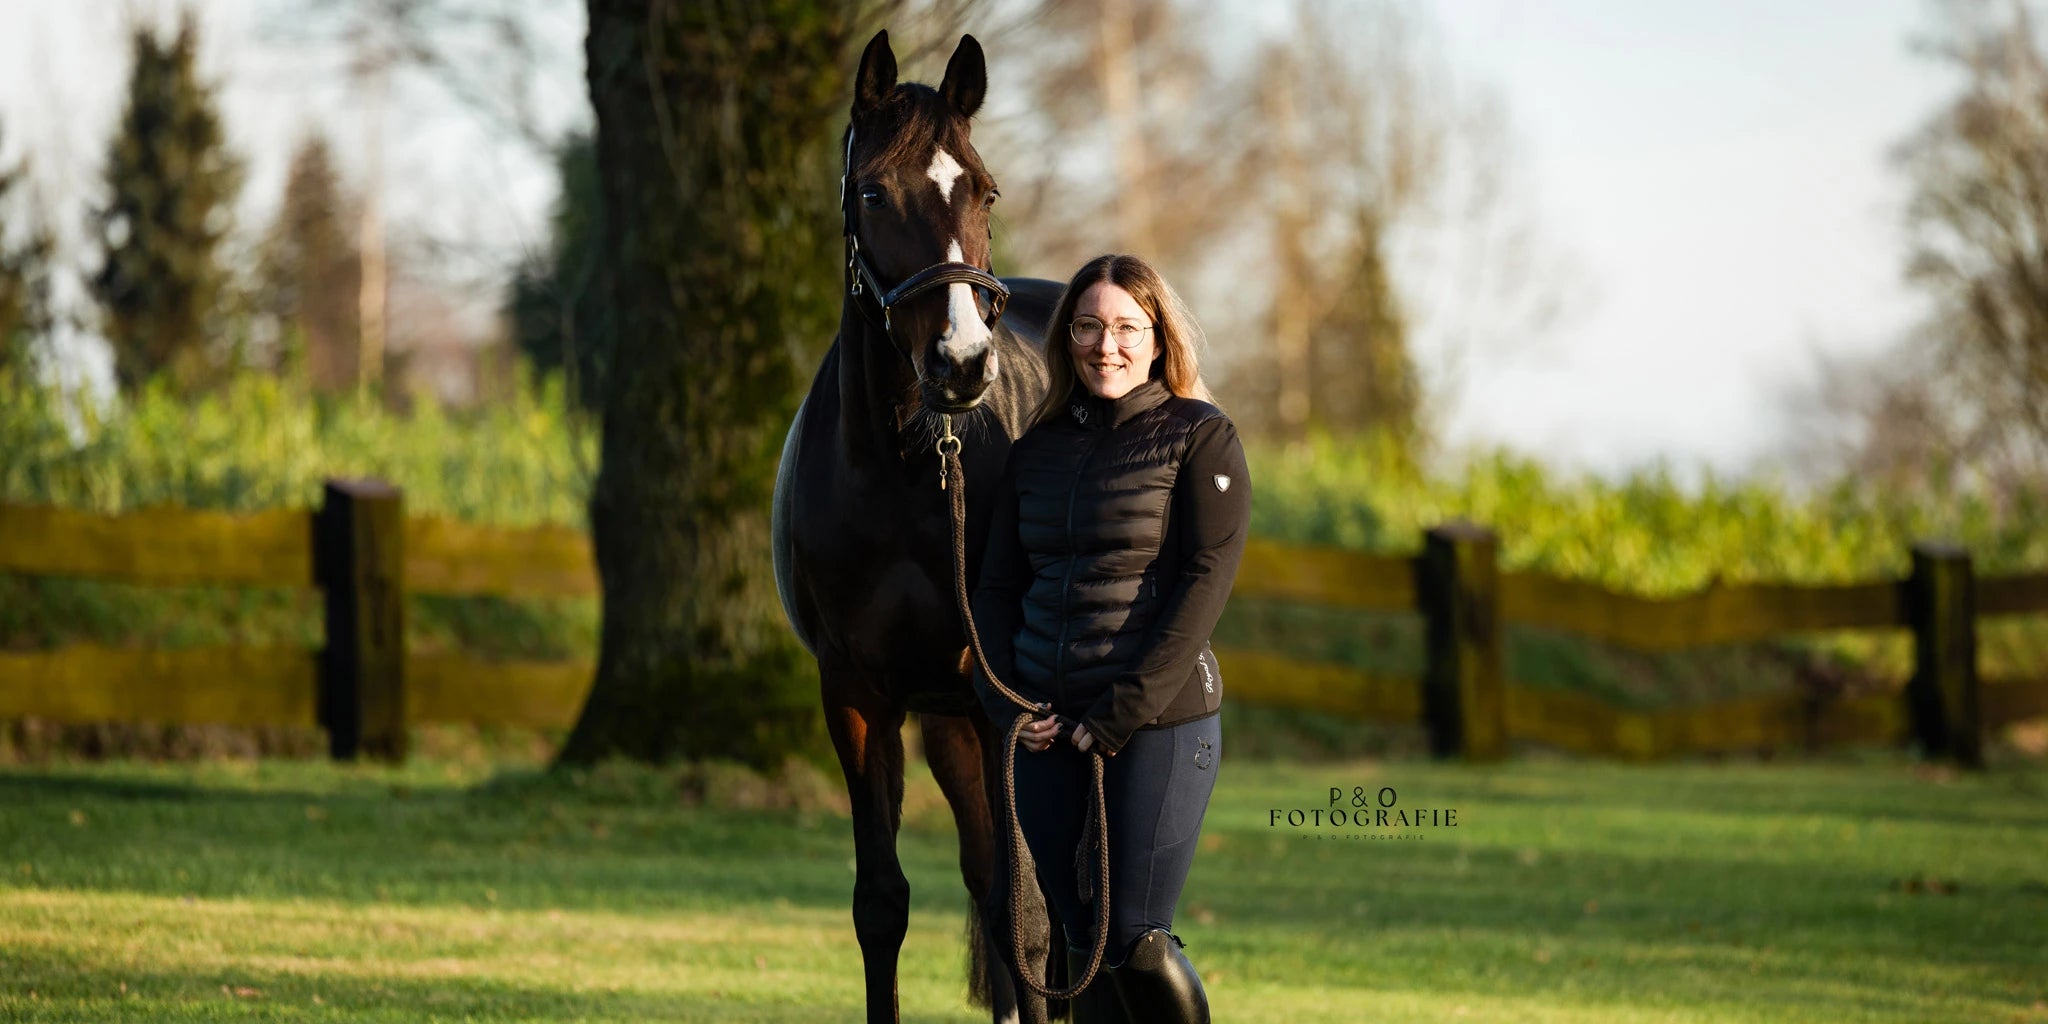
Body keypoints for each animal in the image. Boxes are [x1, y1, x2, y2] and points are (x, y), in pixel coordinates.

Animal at [770, 32, 1073, 1024]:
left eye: (985, 190)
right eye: (872, 192)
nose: (961, 363)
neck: (912, 470)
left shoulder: (1002, 705)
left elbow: (1029, 918)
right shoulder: (859, 698)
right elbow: (883, 905)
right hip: (948, 727)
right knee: (986, 874)